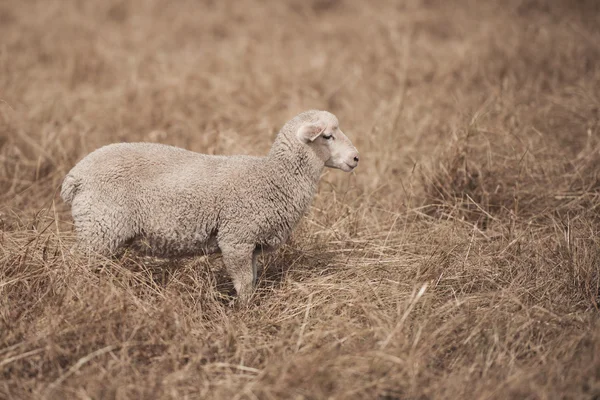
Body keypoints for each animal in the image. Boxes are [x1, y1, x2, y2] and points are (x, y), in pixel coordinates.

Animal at [59, 110, 360, 304]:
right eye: (328, 136)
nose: (356, 158)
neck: (273, 177)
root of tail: (75, 176)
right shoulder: (236, 237)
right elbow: (244, 285)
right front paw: (245, 314)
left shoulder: (250, 244)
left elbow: (252, 279)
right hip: (100, 226)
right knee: (75, 264)